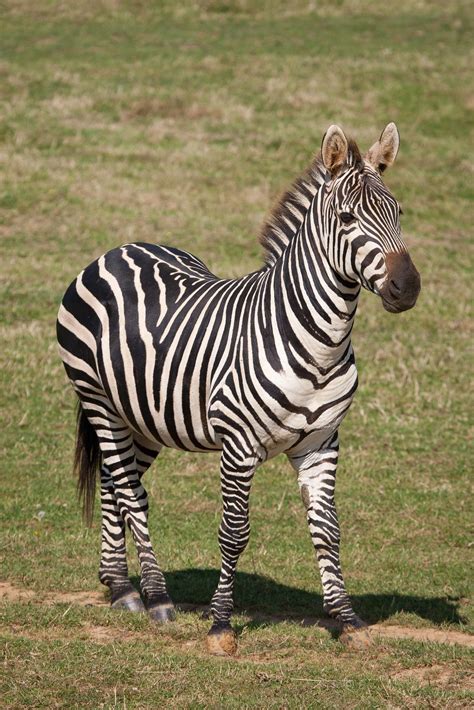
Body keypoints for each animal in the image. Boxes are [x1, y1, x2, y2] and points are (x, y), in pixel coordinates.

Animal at [57, 123, 420, 655]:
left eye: (398, 213)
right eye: (348, 218)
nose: (407, 287)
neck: (317, 343)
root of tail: (118, 250)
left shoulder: (321, 443)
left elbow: (328, 531)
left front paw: (349, 620)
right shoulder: (238, 444)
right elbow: (234, 533)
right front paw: (221, 625)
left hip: (142, 416)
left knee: (113, 481)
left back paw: (120, 585)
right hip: (98, 399)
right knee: (129, 490)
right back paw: (155, 597)